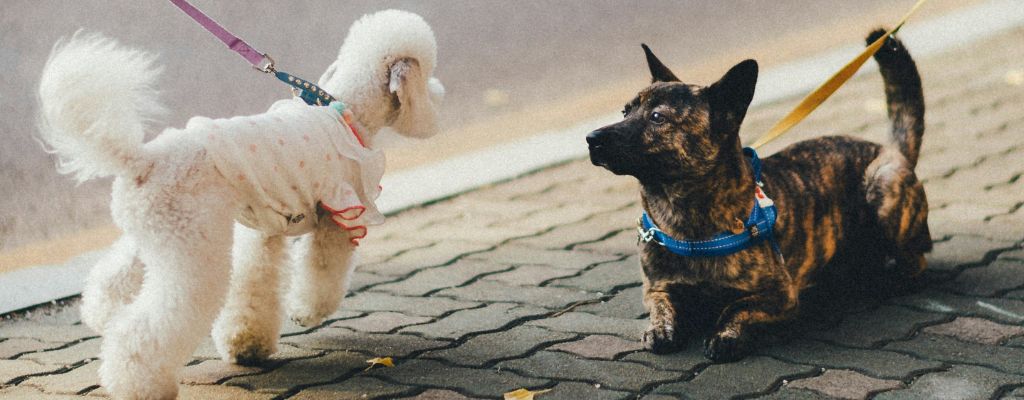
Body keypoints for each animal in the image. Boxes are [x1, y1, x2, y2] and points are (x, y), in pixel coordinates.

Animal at [37, 10, 443, 399]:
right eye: (427, 72)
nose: (439, 92)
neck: (346, 108)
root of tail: (141, 159)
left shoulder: (264, 227)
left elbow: (253, 282)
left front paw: (246, 344)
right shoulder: (338, 217)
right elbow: (323, 272)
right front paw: (307, 313)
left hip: (156, 238)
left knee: (113, 281)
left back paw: (102, 315)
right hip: (192, 248)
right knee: (146, 328)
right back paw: (141, 386)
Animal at [586, 30, 930, 362]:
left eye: (657, 117)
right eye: (625, 111)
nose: (591, 138)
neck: (684, 217)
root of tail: (891, 150)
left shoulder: (781, 294)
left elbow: (737, 306)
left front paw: (726, 335)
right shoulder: (657, 288)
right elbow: (661, 306)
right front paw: (660, 328)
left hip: (883, 188)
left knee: (916, 261)